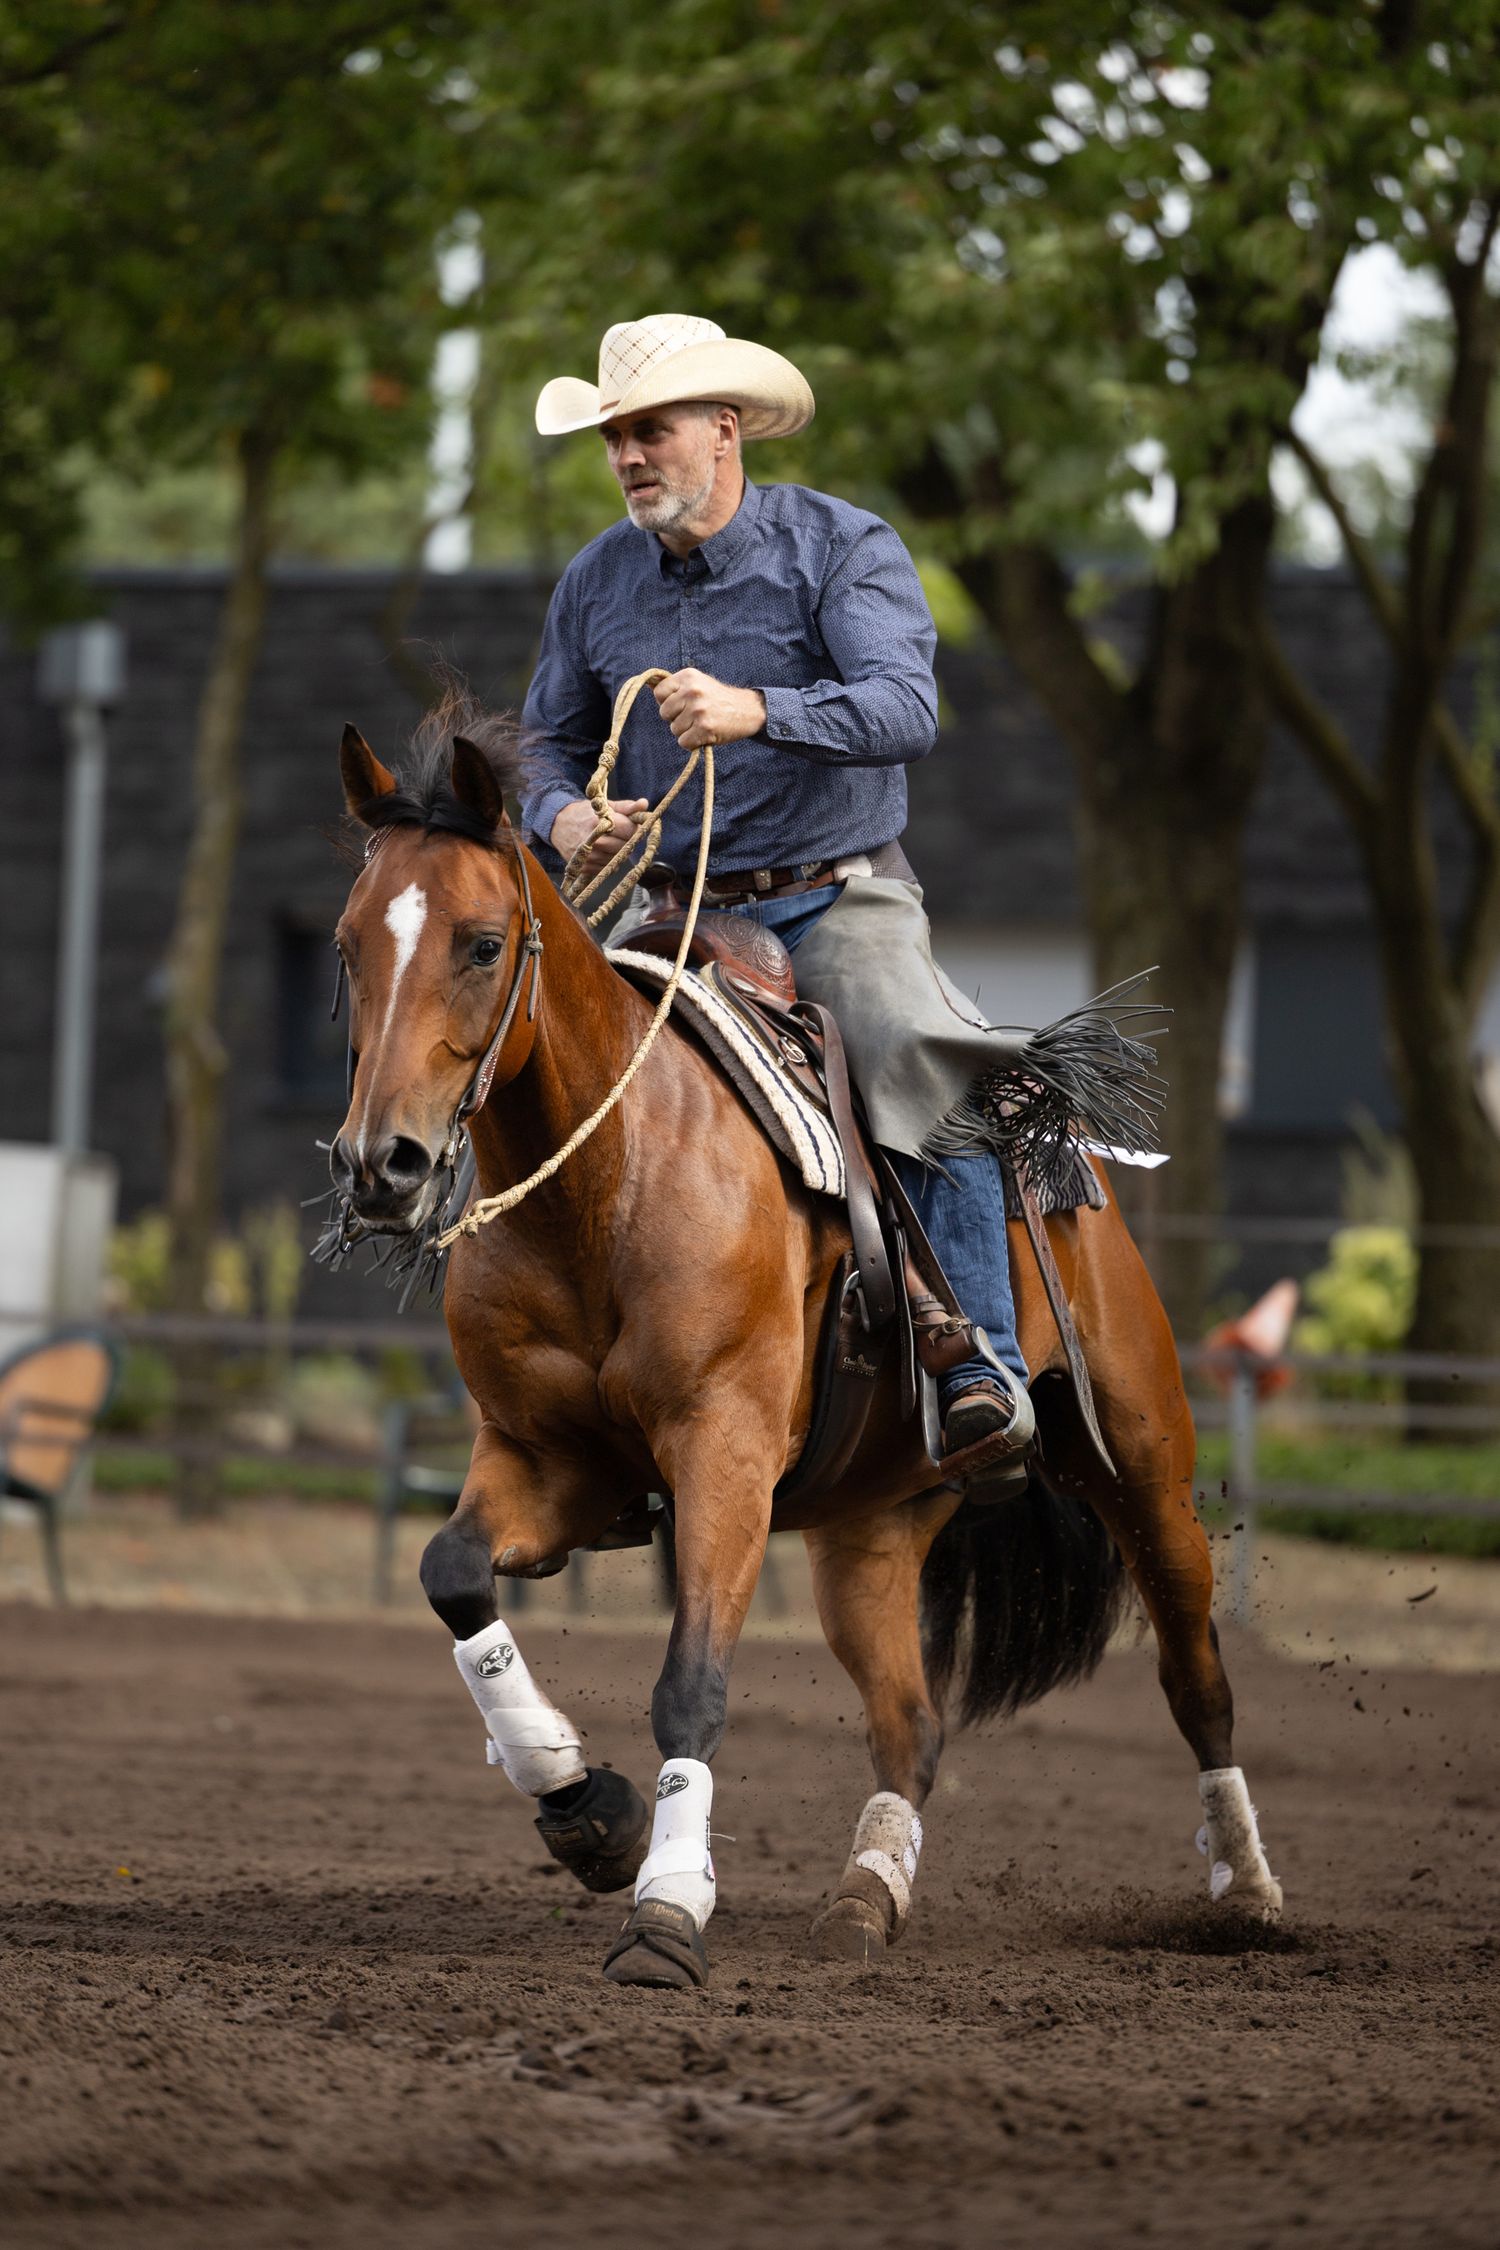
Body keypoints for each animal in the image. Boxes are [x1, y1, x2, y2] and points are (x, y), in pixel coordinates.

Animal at [327, 692, 1282, 1990]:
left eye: (481, 943)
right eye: (346, 946)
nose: (381, 1164)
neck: (612, 1181)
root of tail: (1058, 1142)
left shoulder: (722, 1453)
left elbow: (691, 1685)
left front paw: (667, 1909)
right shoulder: (547, 1463)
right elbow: (453, 1575)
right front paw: (585, 1811)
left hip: (1142, 1464)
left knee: (1198, 1678)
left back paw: (1249, 1892)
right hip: (873, 1526)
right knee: (911, 1724)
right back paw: (865, 1897)